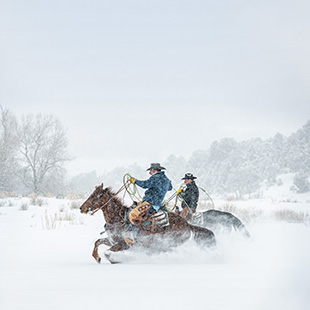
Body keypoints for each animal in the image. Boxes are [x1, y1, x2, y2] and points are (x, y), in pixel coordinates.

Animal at [80, 184, 216, 264]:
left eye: (94, 196)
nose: (81, 208)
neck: (118, 219)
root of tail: (187, 224)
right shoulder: (112, 240)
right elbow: (98, 242)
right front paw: (97, 257)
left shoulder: (124, 244)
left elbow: (107, 252)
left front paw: (115, 261)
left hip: (169, 242)